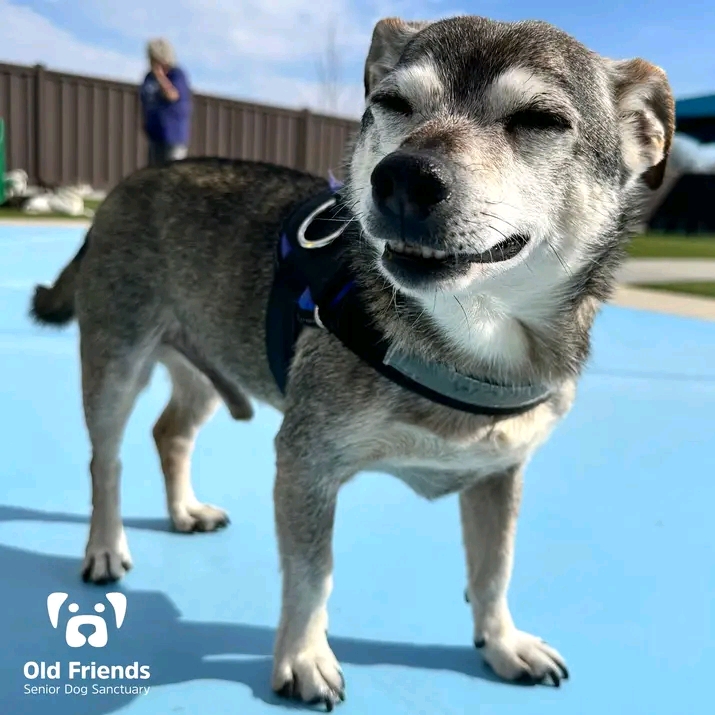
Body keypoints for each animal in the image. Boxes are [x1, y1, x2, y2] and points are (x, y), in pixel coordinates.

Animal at [29, 15, 676, 712]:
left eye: (540, 120)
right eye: (392, 104)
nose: (404, 177)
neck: (470, 341)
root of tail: (128, 183)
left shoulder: (500, 472)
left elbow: (494, 567)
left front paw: (503, 644)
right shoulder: (307, 461)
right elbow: (313, 573)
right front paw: (303, 658)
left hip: (204, 364)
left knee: (169, 433)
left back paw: (184, 512)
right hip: (116, 360)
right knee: (107, 460)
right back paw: (104, 547)